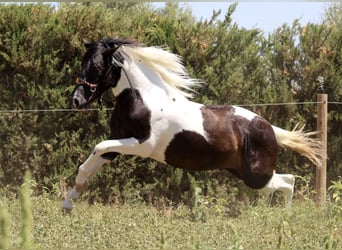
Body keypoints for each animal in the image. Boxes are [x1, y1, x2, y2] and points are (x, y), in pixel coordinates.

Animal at [62, 38, 324, 211]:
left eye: (97, 66)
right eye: (82, 63)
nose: (76, 100)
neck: (143, 99)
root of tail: (269, 127)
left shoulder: (142, 145)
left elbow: (98, 147)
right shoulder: (117, 146)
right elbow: (89, 163)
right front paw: (68, 203)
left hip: (256, 175)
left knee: (288, 181)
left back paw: (282, 218)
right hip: (241, 171)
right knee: (283, 183)